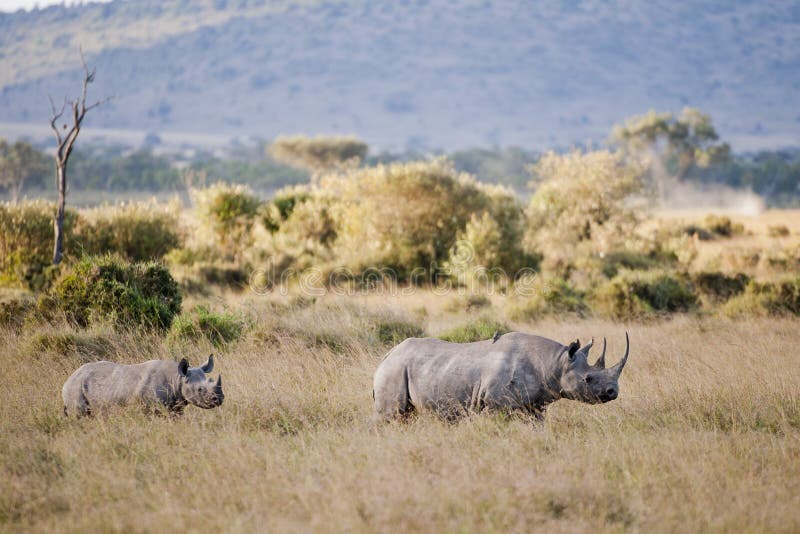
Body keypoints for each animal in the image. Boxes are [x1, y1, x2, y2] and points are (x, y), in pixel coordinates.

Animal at [61, 356, 225, 418]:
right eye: (200, 390)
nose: (220, 399)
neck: (178, 378)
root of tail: (68, 379)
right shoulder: (148, 407)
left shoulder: (175, 406)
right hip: (74, 388)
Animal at [372, 330, 628, 422]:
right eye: (588, 379)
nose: (613, 392)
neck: (555, 362)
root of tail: (387, 355)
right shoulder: (496, 403)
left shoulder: (535, 404)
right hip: (394, 370)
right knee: (391, 415)